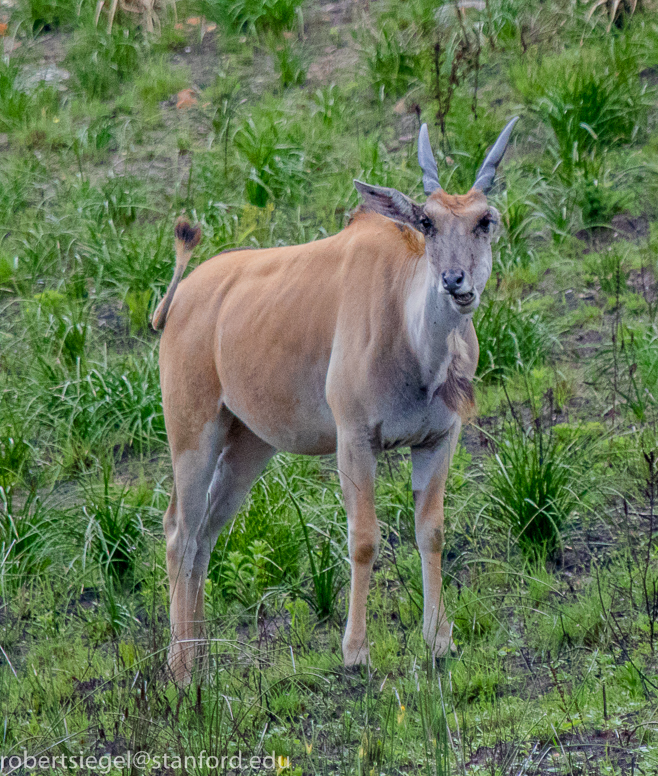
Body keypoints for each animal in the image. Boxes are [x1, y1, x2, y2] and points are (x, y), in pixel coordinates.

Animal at [155, 116, 516, 684]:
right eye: (427, 222)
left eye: (486, 220)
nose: (455, 281)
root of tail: (181, 298)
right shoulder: (355, 439)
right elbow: (363, 538)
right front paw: (356, 650)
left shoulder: (438, 439)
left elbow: (431, 531)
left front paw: (438, 640)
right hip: (192, 434)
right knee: (179, 532)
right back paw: (182, 668)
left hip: (249, 445)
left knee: (206, 533)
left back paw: (202, 658)